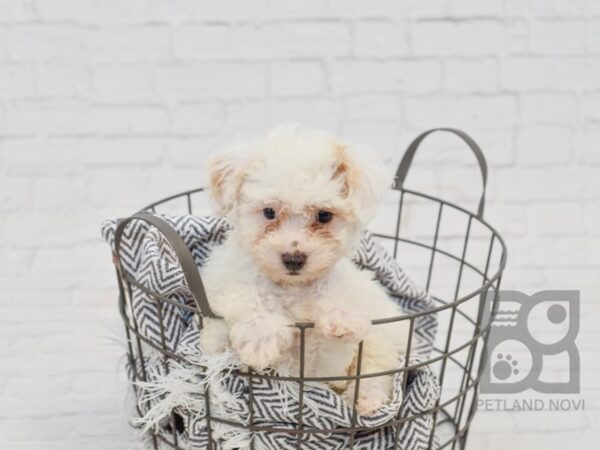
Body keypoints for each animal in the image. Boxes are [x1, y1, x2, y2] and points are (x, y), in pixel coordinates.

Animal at [199, 125, 410, 414]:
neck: (292, 288)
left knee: (377, 370)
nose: (294, 258)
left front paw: (341, 317)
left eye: (324, 215)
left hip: (383, 337)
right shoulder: (221, 284)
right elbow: (246, 295)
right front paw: (260, 336)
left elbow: (330, 323)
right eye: (269, 212)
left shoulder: (326, 365)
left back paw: (366, 399)